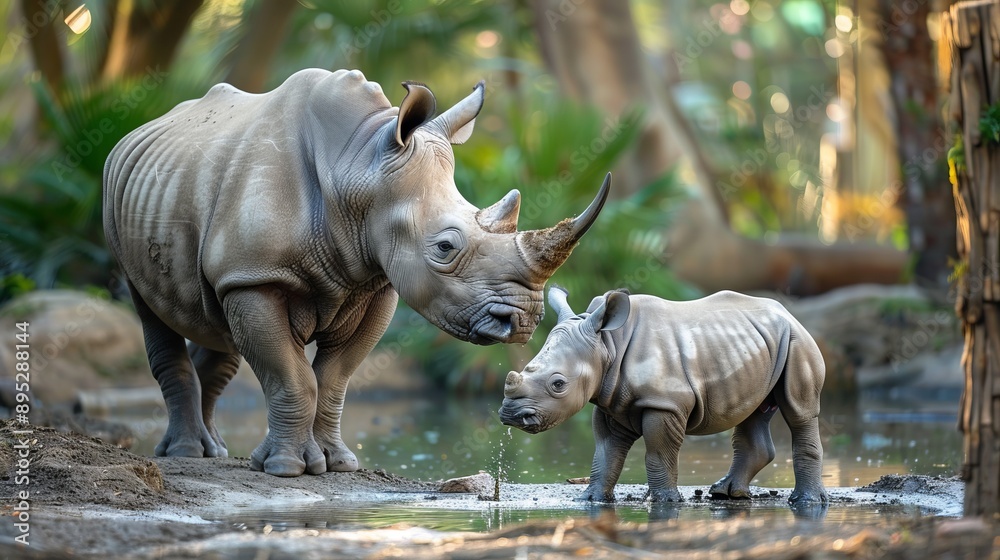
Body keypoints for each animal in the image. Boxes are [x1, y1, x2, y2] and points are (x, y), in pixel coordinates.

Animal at [103, 68, 610, 477]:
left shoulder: (375, 283)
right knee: (151, 310)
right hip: (126, 211)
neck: (359, 166)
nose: (522, 321)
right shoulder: (257, 277)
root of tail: (139, 131)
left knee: (216, 324)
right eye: (445, 248)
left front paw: (337, 464)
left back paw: (215, 451)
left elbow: (333, 380)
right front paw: (287, 469)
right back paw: (186, 454)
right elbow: (291, 375)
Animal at [499, 287, 828, 504]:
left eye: (558, 384)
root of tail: (788, 313)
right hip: (757, 344)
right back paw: (726, 493)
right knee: (752, 411)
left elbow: (658, 453)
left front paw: (666, 501)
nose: (510, 415)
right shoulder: (609, 402)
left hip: (797, 342)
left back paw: (805, 502)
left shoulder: (665, 403)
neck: (607, 345)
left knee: (799, 412)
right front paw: (590, 499)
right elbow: (605, 453)